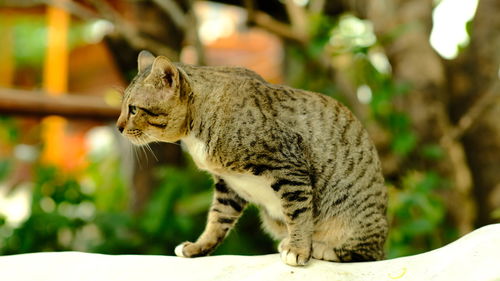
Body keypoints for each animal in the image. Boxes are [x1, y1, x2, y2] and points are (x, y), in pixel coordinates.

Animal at [116, 50, 386, 264]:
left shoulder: (289, 166)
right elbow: (217, 219)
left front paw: (299, 248)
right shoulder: (228, 185)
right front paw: (198, 247)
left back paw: (319, 247)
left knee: (365, 253)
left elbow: (298, 214)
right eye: (123, 107)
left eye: (133, 109)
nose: (118, 127)